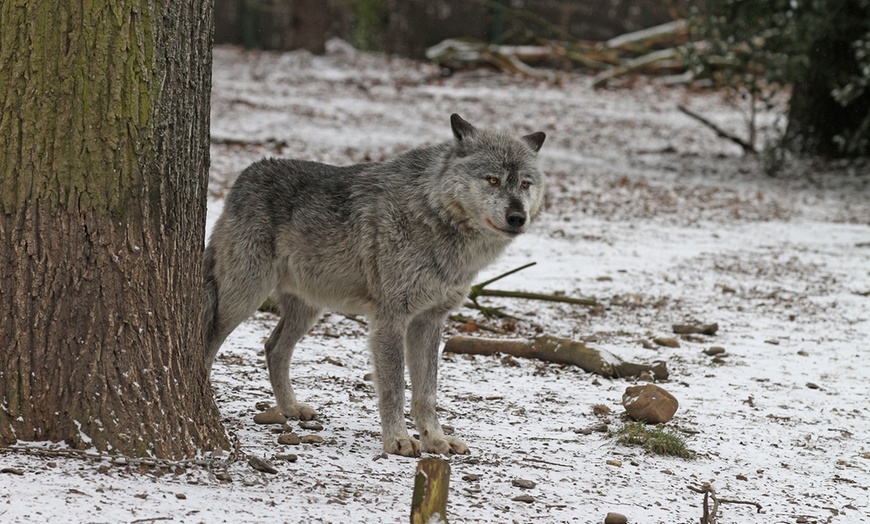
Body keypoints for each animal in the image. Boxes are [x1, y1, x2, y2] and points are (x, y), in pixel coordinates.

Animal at [202, 113, 548, 454]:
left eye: (525, 184)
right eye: (492, 180)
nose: (517, 217)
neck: (434, 214)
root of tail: (246, 173)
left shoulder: (429, 320)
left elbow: (427, 394)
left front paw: (435, 440)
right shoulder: (391, 317)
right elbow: (394, 388)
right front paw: (398, 440)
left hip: (307, 310)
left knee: (273, 348)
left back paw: (290, 408)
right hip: (243, 299)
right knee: (208, 342)